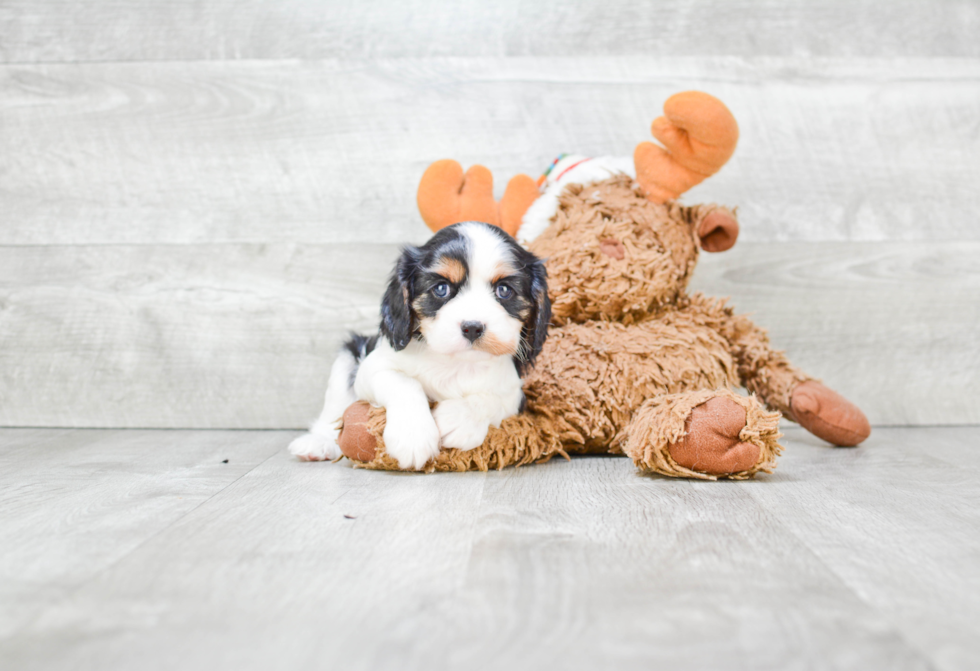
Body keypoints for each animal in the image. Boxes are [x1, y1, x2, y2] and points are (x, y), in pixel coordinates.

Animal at [290, 223, 552, 470]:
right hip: (349, 355)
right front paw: (412, 436)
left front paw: (458, 420)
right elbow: (403, 382)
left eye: (504, 290)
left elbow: (491, 399)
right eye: (441, 289)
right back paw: (318, 442)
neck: (456, 362)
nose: (472, 327)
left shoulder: (514, 393)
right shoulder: (373, 367)